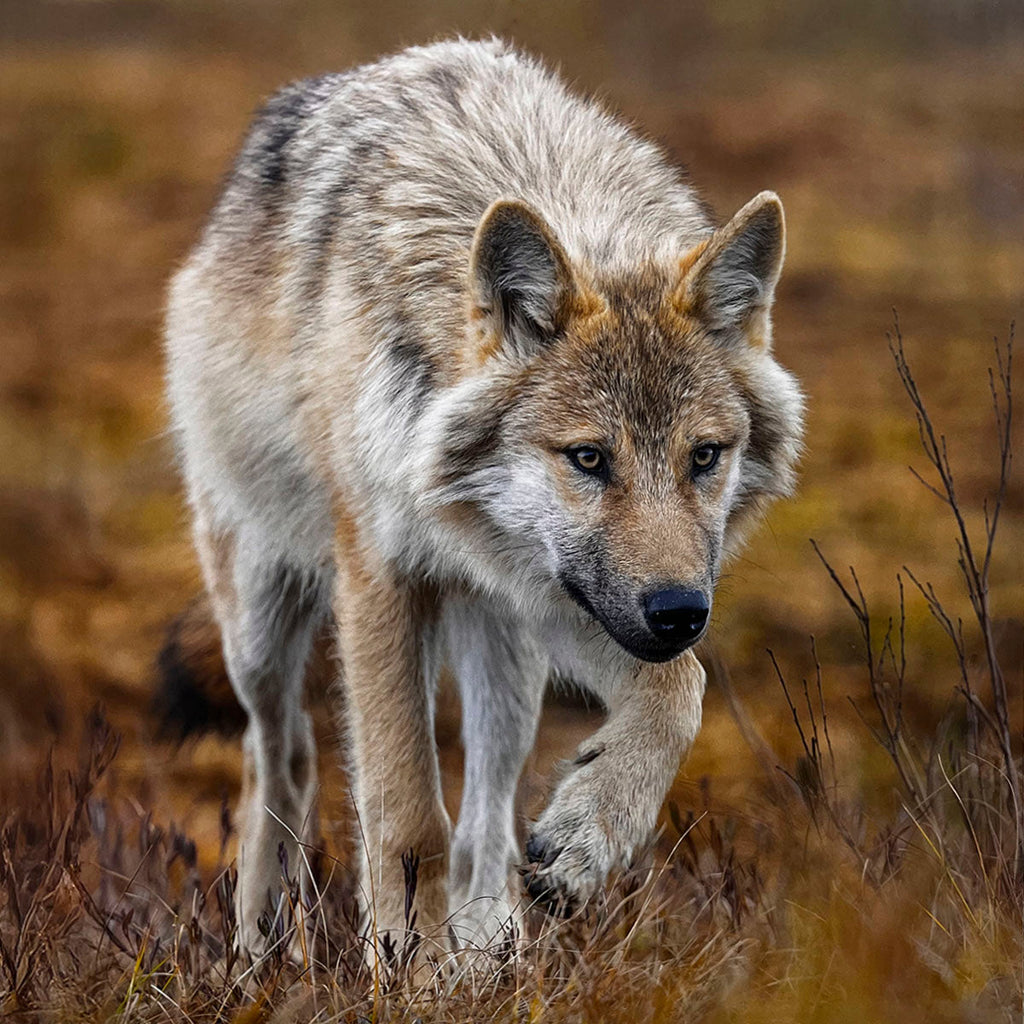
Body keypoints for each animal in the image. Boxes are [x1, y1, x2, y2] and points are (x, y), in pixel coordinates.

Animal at [162, 37, 803, 959]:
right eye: (588, 458)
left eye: (705, 457)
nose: (682, 611)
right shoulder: (380, 580)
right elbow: (404, 817)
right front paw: (402, 964)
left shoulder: (557, 591)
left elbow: (680, 694)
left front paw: (583, 839)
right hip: (258, 612)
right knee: (278, 753)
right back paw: (260, 950)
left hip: (506, 651)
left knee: (488, 814)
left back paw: (489, 951)